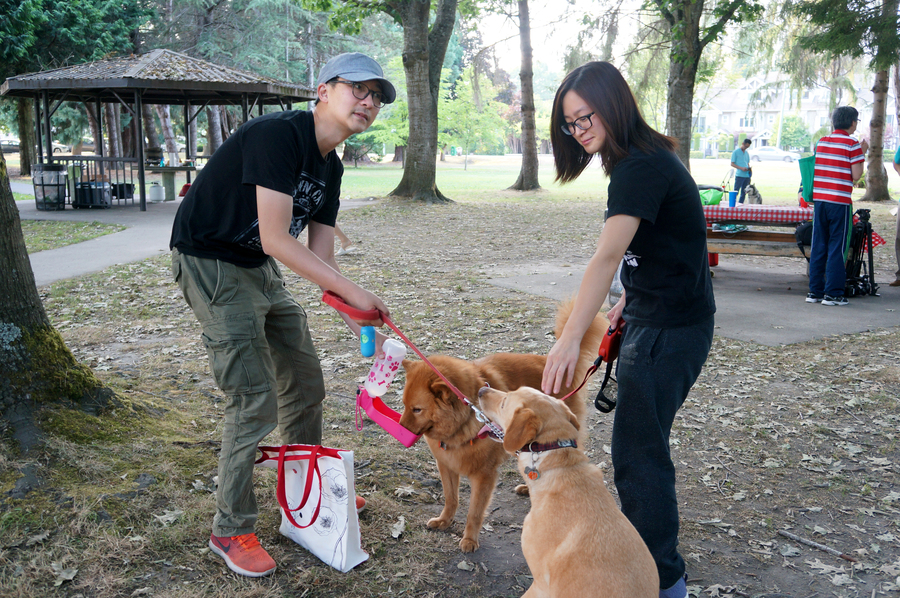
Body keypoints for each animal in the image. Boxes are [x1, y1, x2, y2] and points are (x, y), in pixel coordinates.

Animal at [396, 302, 600, 556]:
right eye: (404, 405)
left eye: (417, 410)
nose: (399, 430)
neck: (463, 422)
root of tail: (554, 363)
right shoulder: (447, 465)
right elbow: (451, 498)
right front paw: (445, 520)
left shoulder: (484, 476)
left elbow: (474, 512)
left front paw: (469, 539)